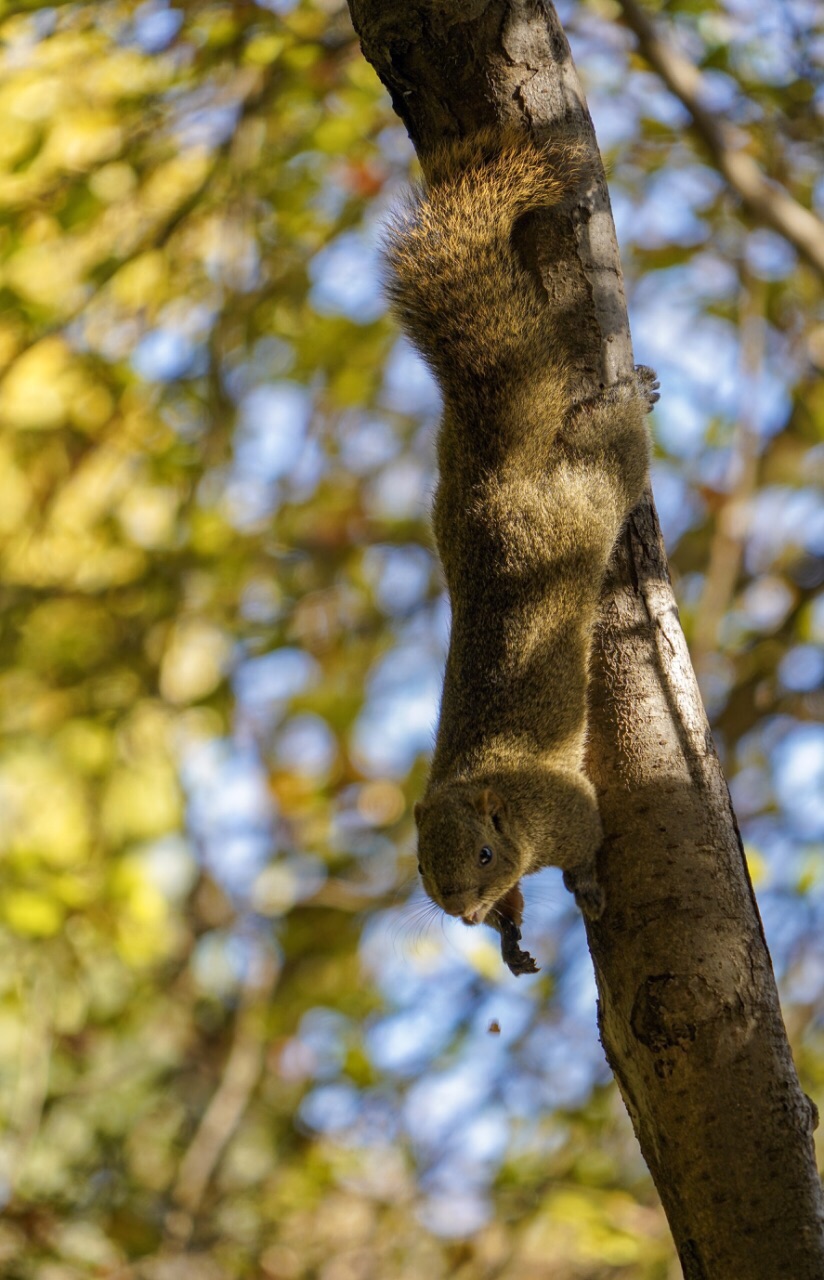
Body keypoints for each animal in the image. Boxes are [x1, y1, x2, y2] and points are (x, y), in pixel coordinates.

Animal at [383, 129, 660, 972]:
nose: (463, 914)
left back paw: (633, 395)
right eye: (420, 868)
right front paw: (510, 936)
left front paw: (587, 888)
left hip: (592, 492)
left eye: (481, 852)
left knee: (617, 448)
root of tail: (497, 480)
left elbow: (589, 844)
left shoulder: (567, 809)